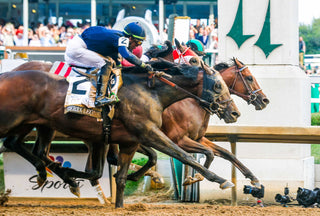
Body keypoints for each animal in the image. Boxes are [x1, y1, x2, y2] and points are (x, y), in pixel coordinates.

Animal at [0, 59, 238, 208]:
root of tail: (6, 75)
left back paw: (50, 175)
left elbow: (119, 175)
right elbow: (185, 155)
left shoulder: (129, 141)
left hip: (36, 125)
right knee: (20, 147)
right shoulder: (150, 132)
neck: (150, 91)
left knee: (26, 148)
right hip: (14, 121)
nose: (234, 113)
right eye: (218, 86)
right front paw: (221, 180)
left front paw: (120, 203)